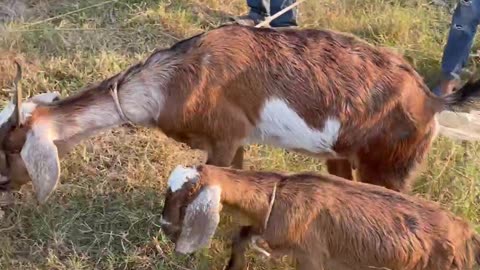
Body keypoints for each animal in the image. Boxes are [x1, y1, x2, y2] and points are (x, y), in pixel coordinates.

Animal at [0, 24, 480, 202]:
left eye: (13, 148)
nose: (3, 184)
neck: (168, 83)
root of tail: (431, 99)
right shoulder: (237, 140)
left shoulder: (224, 136)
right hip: (341, 155)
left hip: (391, 166)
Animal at [159, 163, 480, 268]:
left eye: (189, 193)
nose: (164, 224)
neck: (279, 194)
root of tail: (465, 232)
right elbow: (241, 237)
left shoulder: (313, 254)